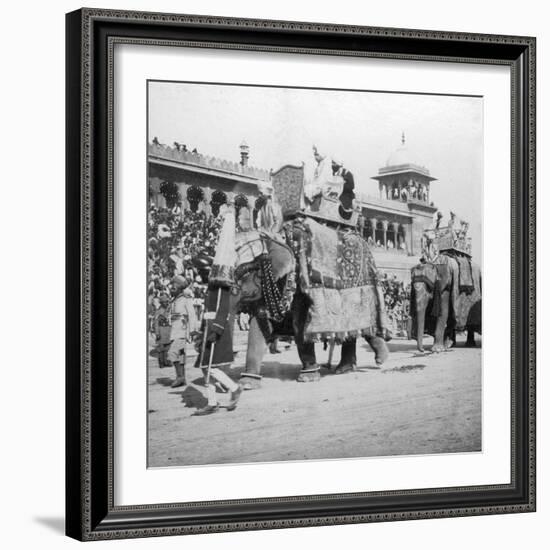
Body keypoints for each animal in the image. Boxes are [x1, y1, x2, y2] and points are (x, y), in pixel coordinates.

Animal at [233, 213, 392, 390]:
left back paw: (379, 359)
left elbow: (300, 326)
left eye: (247, 271)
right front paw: (247, 383)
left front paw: (307, 377)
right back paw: (346, 368)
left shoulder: (300, 283)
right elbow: (259, 326)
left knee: (366, 326)